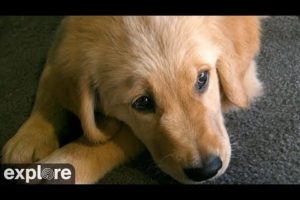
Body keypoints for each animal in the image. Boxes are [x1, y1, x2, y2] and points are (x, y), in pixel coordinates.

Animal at [3, 16, 264, 184]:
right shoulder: (64, 38)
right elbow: (50, 81)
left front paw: (65, 164)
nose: (207, 170)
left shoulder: (242, 82)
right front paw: (31, 137)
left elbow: (122, 135)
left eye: (202, 79)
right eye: (143, 103)